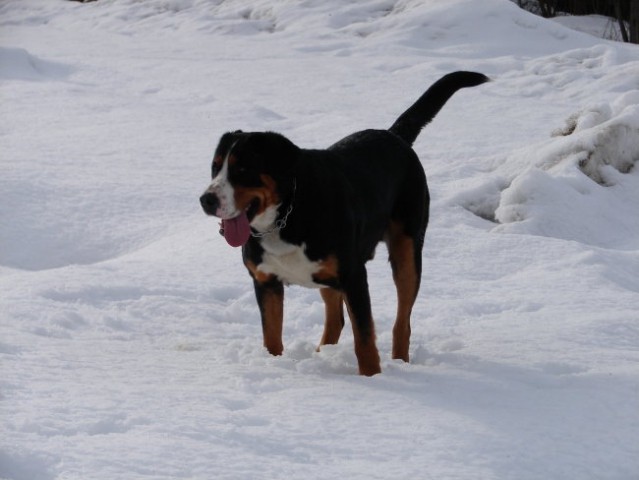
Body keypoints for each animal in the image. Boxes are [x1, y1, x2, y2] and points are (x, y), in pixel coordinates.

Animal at [200, 71, 490, 376]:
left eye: (243, 168)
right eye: (215, 166)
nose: (206, 199)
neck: (287, 215)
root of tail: (393, 134)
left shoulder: (354, 276)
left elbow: (364, 338)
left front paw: (372, 378)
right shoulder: (266, 281)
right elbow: (272, 337)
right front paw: (275, 366)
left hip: (407, 252)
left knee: (402, 322)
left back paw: (399, 361)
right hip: (328, 274)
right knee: (336, 318)